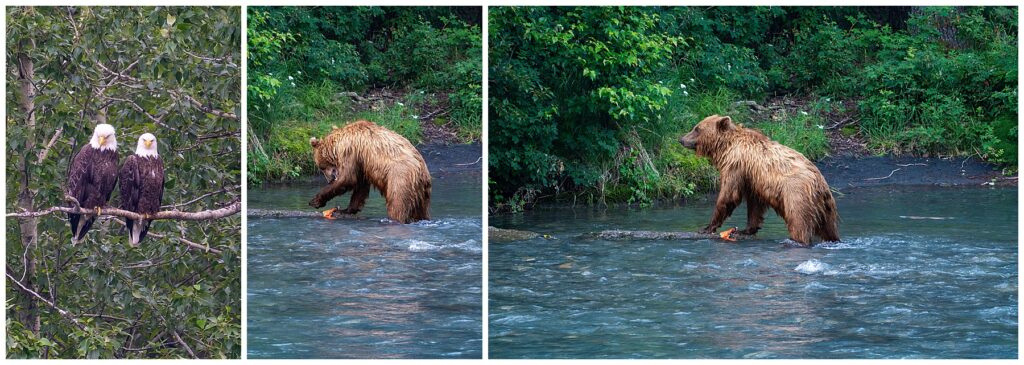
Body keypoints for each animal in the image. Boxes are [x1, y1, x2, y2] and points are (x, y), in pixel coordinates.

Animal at [675, 113, 835, 245]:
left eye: (697, 128)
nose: (681, 139)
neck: (724, 148)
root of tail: (820, 183)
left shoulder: (736, 166)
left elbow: (728, 195)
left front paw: (707, 227)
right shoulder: (752, 180)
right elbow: (754, 206)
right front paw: (745, 230)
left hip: (797, 194)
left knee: (798, 220)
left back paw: (796, 240)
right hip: (827, 208)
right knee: (829, 229)